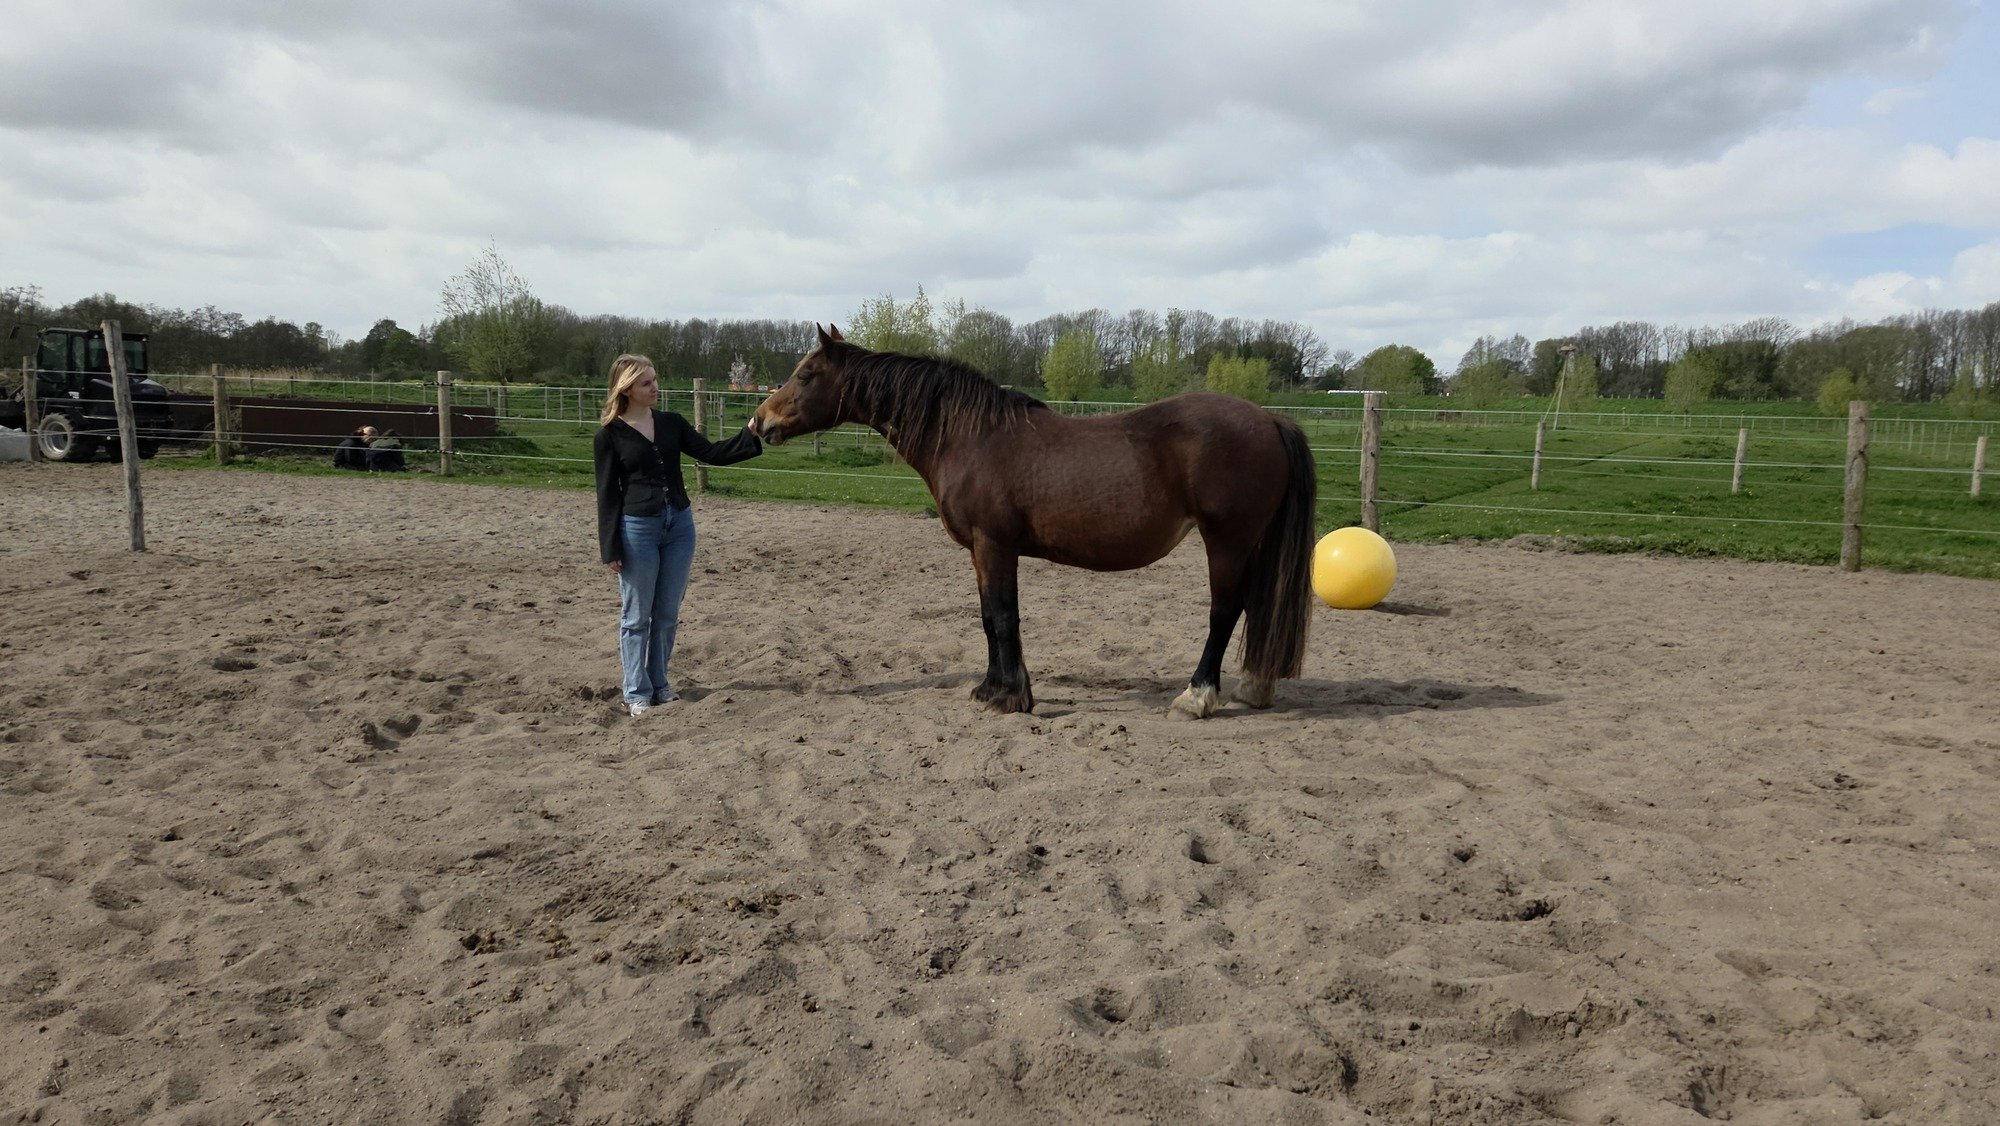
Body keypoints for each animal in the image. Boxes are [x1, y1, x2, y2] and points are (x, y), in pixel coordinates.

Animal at [750, 324, 1316, 719]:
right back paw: (1254, 688)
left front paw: (1012, 697)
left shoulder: (994, 544)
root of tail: (1271, 419)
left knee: (1225, 612)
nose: (759, 422)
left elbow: (1004, 617)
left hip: (1227, 541)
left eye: (806, 374)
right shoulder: (983, 551)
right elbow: (987, 617)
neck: (971, 437)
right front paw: (991, 689)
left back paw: (1197, 697)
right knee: (1257, 606)